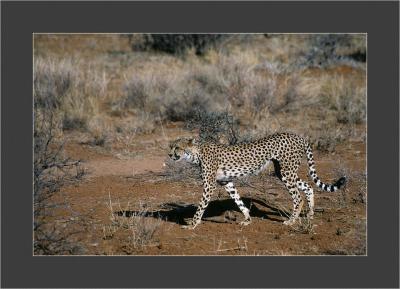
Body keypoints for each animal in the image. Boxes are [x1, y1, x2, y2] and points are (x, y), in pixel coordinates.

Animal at [167, 133, 346, 230]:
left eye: (177, 147)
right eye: (170, 146)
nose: (169, 155)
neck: (196, 153)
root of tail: (298, 136)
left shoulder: (209, 185)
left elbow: (201, 207)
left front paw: (192, 224)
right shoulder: (226, 182)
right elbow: (238, 200)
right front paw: (247, 219)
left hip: (287, 172)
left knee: (298, 197)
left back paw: (291, 220)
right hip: (283, 172)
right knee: (308, 187)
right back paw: (310, 215)